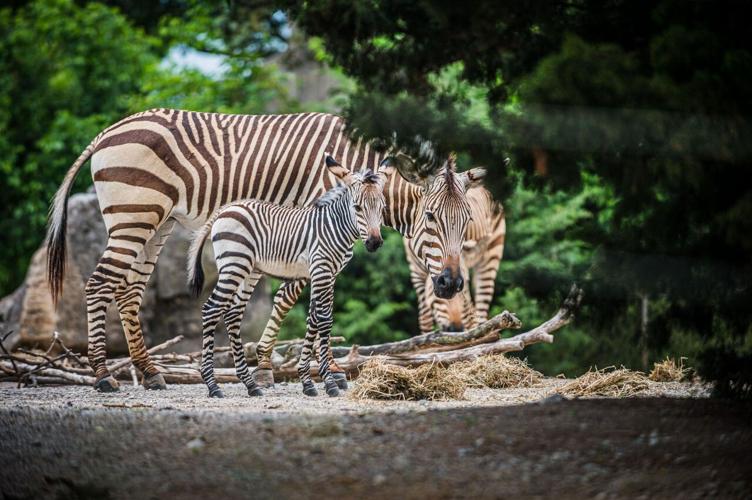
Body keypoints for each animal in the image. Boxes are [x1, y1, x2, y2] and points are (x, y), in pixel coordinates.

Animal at [186, 162, 385, 398]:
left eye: (382, 208)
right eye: (357, 208)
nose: (374, 243)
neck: (335, 227)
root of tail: (224, 209)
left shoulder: (328, 276)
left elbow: (314, 320)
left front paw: (307, 381)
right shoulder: (321, 271)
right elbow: (324, 320)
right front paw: (329, 383)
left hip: (248, 270)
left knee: (232, 314)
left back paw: (250, 385)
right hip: (234, 265)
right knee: (211, 309)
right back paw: (213, 385)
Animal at [410, 186, 506, 332]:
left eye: (463, 284)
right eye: (442, 284)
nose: (457, 329)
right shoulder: (416, 272)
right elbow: (424, 319)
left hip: (492, 253)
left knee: (481, 312)